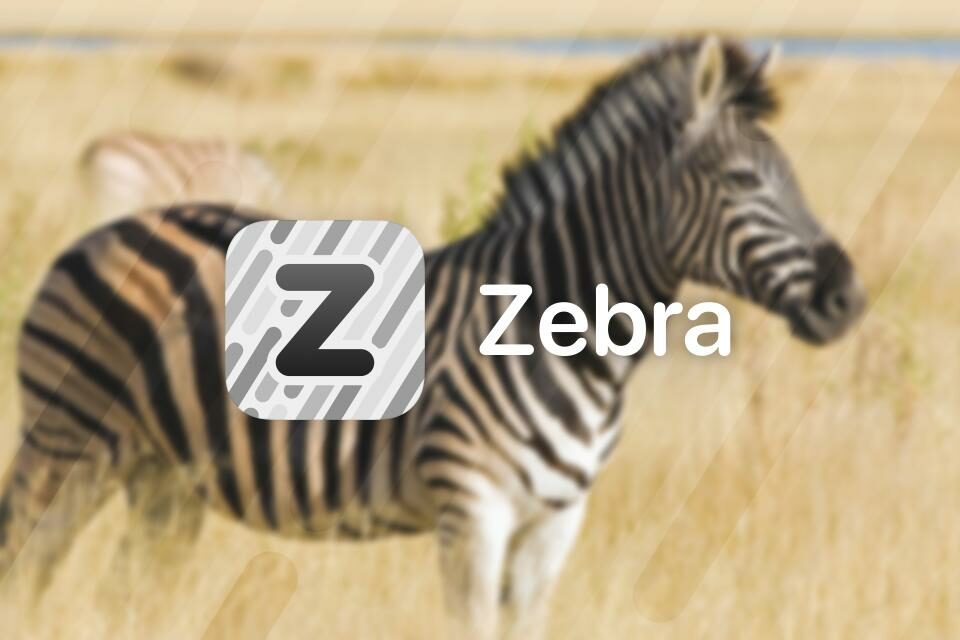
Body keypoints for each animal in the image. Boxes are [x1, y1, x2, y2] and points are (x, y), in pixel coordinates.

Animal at [1, 37, 865, 638]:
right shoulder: (472, 509)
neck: (556, 333)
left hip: (163, 476)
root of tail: (113, 227)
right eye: (744, 182)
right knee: (26, 567)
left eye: (793, 177)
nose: (849, 299)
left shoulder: (555, 522)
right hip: (70, 440)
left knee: (125, 592)